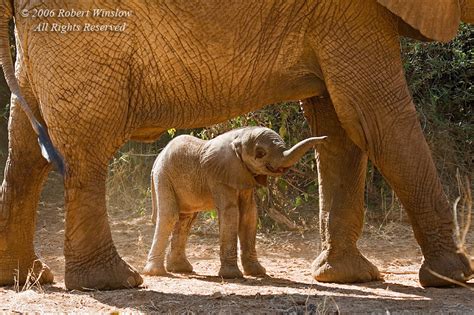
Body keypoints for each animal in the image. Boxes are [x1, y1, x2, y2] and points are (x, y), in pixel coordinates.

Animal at [143, 126, 324, 278]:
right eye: (260, 153)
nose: (324, 137)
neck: (240, 136)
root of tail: (158, 156)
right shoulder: (219, 177)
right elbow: (231, 212)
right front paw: (232, 276)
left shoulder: (244, 176)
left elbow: (249, 215)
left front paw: (257, 272)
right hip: (163, 176)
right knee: (170, 216)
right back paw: (156, 273)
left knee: (186, 219)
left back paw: (181, 269)